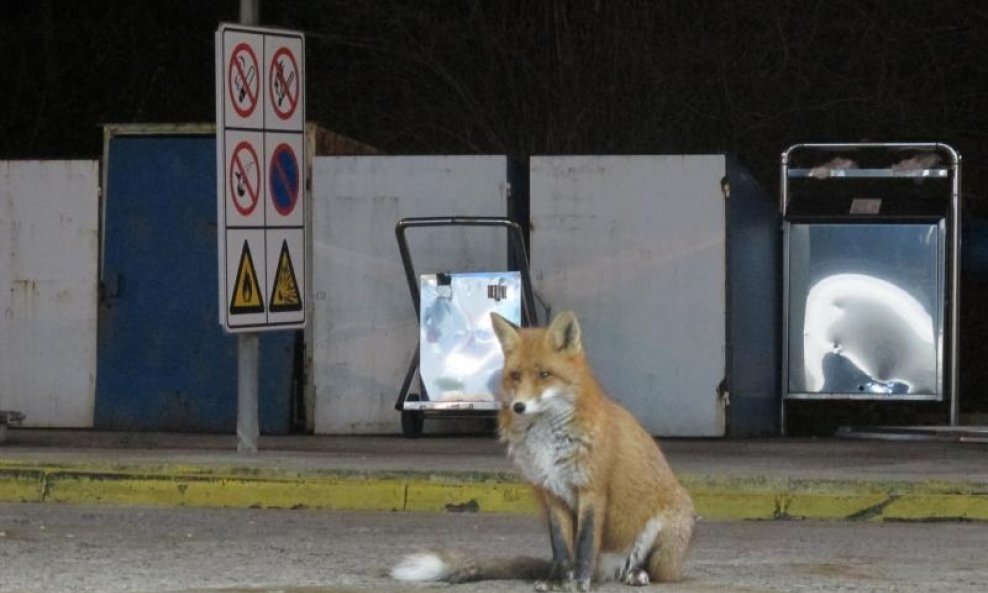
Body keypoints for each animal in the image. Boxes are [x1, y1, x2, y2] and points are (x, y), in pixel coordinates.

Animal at [392, 310, 696, 588]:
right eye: (515, 376)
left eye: (544, 375)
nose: (519, 407)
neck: (548, 441)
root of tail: (608, 569)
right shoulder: (551, 491)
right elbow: (561, 548)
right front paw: (560, 581)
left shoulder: (592, 490)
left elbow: (585, 544)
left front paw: (580, 583)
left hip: (663, 536)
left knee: (651, 569)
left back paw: (637, 574)